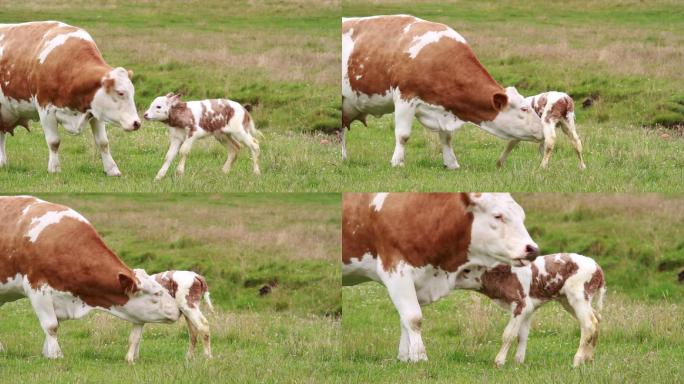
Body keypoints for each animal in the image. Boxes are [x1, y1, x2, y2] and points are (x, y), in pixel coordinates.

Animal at [0, 21, 142, 175]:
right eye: (120, 93)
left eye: (132, 93)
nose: (137, 123)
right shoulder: (45, 109)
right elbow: (54, 142)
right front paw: (54, 168)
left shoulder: (96, 111)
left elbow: (103, 142)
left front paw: (112, 169)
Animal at [0, 196, 180, 358]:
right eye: (156, 294)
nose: (177, 310)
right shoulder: (37, 288)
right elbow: (51, 326)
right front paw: (56, 355)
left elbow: (54, 325)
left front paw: (47, 353)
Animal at [342, 15, 544, 168]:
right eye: (524, 109)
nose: (543, 130)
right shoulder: (405, 97)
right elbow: (403, 135)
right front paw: (397, 162)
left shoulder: (445, 110)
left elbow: (447, 138)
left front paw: (451, 163)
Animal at [342, 194, 540, 362]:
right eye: (498, 216)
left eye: (522, 216)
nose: (533, 249)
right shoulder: (395, 269)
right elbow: (413, 317)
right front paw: (419, 357)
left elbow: (404, 319)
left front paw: (404, 357)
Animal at [454, 254, 604, 368]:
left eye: (466, 270)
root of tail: (598, 267)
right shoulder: (528, 309)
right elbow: (522, 335)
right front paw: (518, 362)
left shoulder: (521, 304)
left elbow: (508, 334)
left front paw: (499, 362)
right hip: (567, 301)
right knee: (596, 320)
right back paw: (589, 359)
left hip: (578, 296)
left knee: (589, 324)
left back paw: (577, 361)